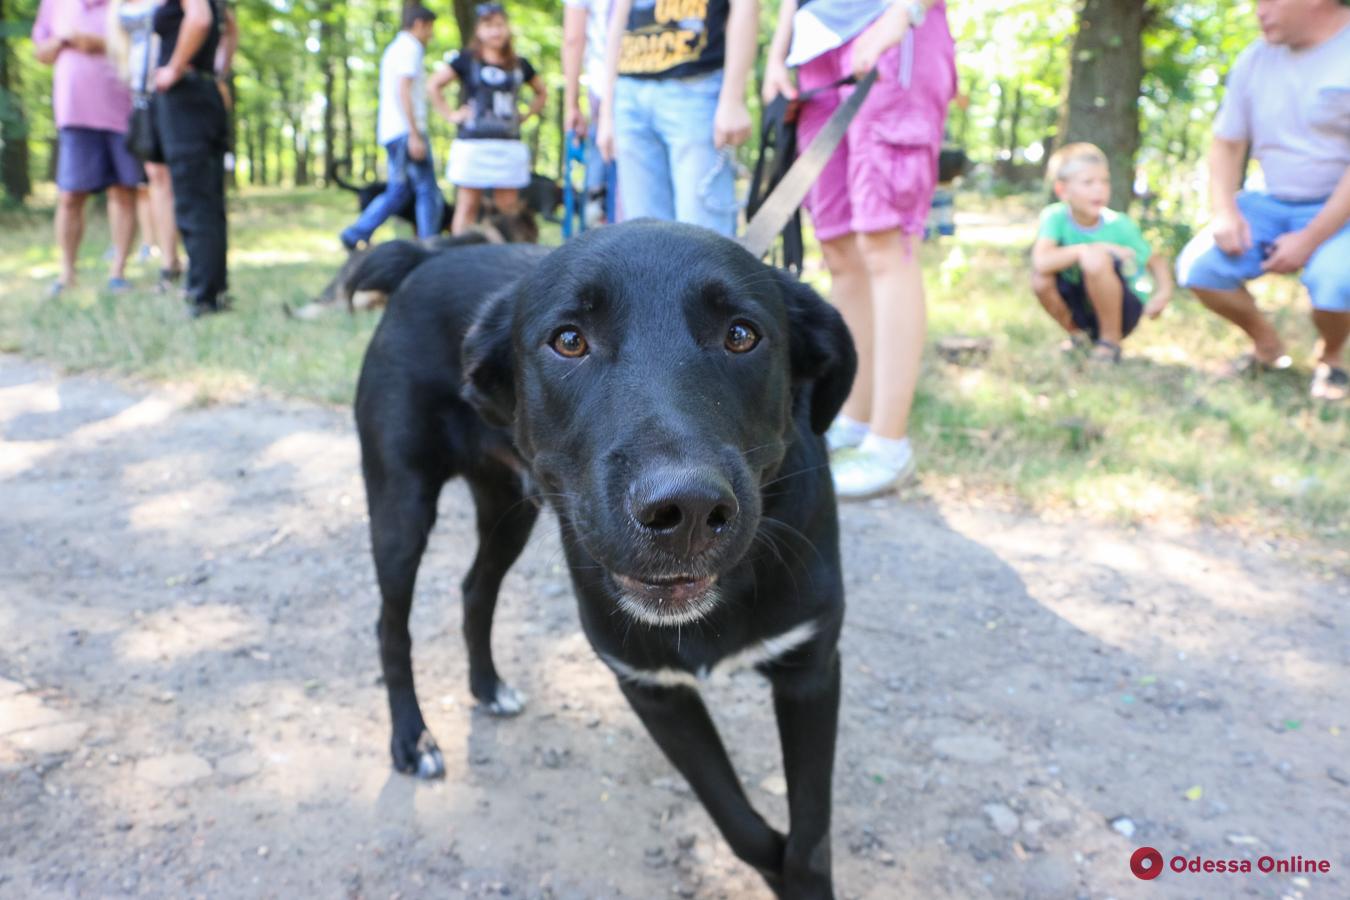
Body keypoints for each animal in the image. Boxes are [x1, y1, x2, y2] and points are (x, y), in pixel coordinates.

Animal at [356, 221, 853, 895]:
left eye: (742, 335)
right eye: (569, 340)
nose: (686, 511)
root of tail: (426, 256)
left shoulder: (812, 670)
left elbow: (811, 833)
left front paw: (801, 877)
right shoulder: (649, 686)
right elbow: (738, 822)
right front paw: (775, 868)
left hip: (510, 509)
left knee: (474, 589)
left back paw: (489, 686)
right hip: (400, 506)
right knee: (391, 624)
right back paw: (413, 739)